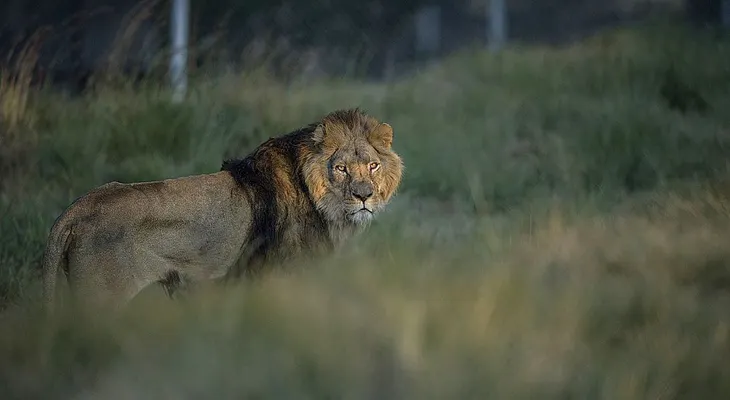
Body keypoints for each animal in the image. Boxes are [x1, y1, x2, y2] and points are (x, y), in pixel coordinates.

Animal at [40, 108, 403, 312]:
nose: (364, 196)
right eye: (341, 169)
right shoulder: (283, 276)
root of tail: (78, 207)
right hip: (100, 300)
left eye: (372, 166)